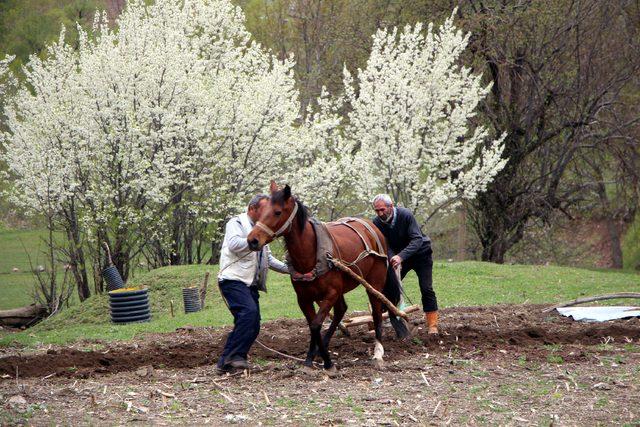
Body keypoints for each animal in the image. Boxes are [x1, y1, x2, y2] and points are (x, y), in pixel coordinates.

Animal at [248, 181, 398, 372]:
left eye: (277, 212)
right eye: (261, 211)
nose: (252, 240)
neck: (311, 255)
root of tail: (372, 227)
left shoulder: (330, 294)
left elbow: (316, 324)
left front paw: (327, 361)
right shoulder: (303, 298)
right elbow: (313, 324)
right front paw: (311, 358)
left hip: (374, 283)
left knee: (376, 312)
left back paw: (378, 352)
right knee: (341, 310)